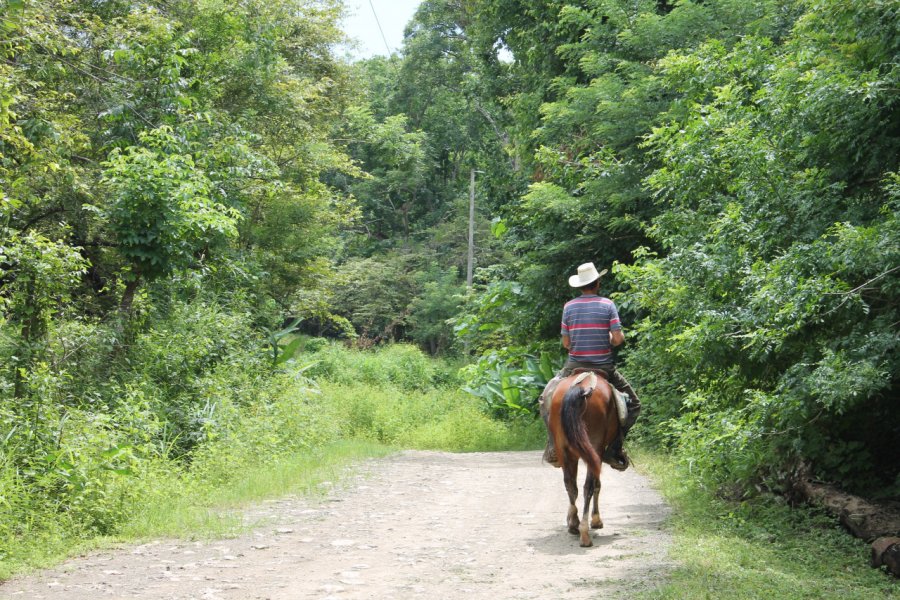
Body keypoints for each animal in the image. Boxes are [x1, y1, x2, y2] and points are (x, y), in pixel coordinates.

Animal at [544, 372, 624, 548]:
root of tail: (582, 388)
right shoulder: (598, 452)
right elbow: (597, 485)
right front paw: (597, 520)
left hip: (565, 449)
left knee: (570, 484)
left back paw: (574, 525)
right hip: (594, 448)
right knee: (588, 486)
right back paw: (585, 533)